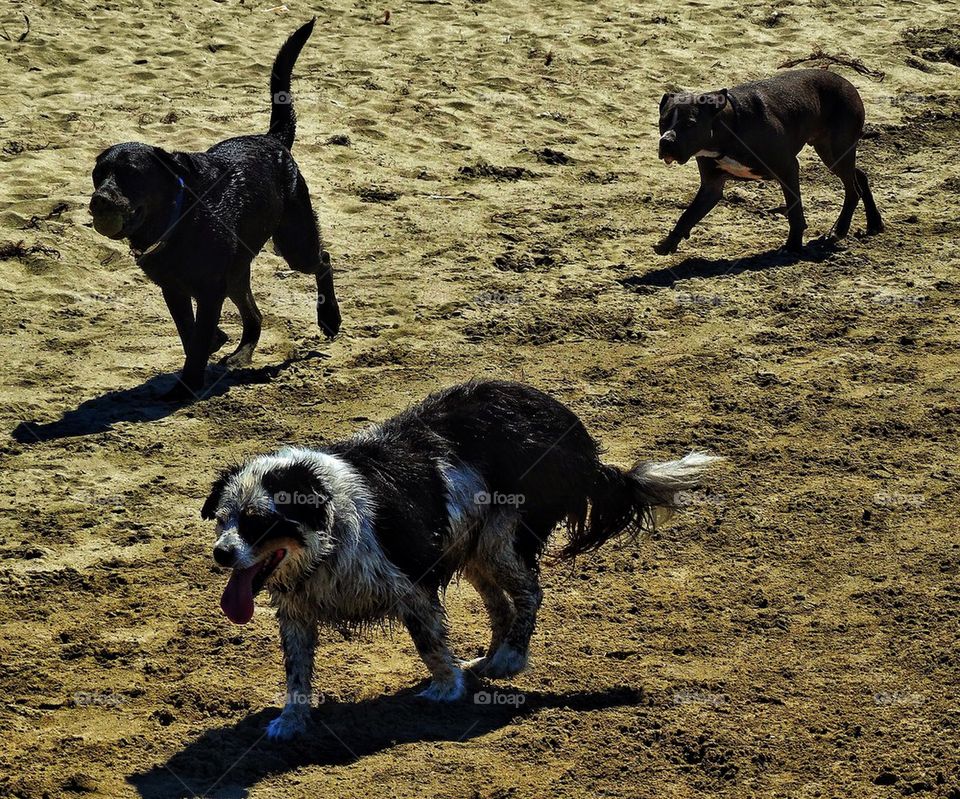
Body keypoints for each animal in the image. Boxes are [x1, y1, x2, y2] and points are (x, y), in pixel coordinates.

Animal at [87, 20, 342, 400]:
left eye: (131, 174)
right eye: (97, 175)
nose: (98, 200)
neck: (179, 220)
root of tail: (274, 139)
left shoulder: (209, 291)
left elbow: (197, 337)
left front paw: (188, 384)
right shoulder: (174, 289)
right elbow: (190, 332)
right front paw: (212, 346)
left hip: (293, 243)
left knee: (322, 260)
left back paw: (329, 318)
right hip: (237, 271)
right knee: (254, 316)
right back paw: (240, 354)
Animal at [202, 378, 724, 740]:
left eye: (258, 521)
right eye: (223, 518)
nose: (221, 554)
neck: (329, 527)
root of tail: (578, 440)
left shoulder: (410, 583)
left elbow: (429, 643)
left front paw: (445, 688)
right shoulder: (296, 609)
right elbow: (296, 672)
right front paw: (292, 721)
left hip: (500, 538)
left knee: (530, 593)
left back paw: (510, 658)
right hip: (475, 550)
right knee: (501, 605)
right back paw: (490, 657)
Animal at [656, 70, 880, 256]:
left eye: (690, 124)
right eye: (663, 121)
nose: (666, 142)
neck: (730, 129)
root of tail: (847, 83)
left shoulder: (788, 168)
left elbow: (794, 211)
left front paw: (793, 246)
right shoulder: (712, 186)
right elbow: (688, 215)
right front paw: (669, 243)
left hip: (837, 152)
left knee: (853, 190)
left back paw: (839, 231)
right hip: (832, 154)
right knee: (859, 176)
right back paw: (874, 223)